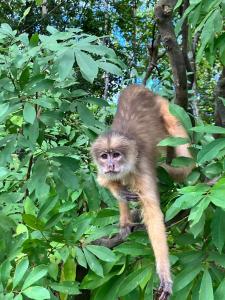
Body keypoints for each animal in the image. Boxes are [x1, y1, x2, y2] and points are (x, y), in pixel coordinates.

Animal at [90, 84, 192, 300]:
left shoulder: (142, 165)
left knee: (179, 150)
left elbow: (154, 216)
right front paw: (120, 193)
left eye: (116, 155)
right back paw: (125, 220)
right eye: (104, 156)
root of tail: (135, 86)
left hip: (162, 104)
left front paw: (164, 275)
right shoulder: (104, 170)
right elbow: (104, 180)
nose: (110, 164)